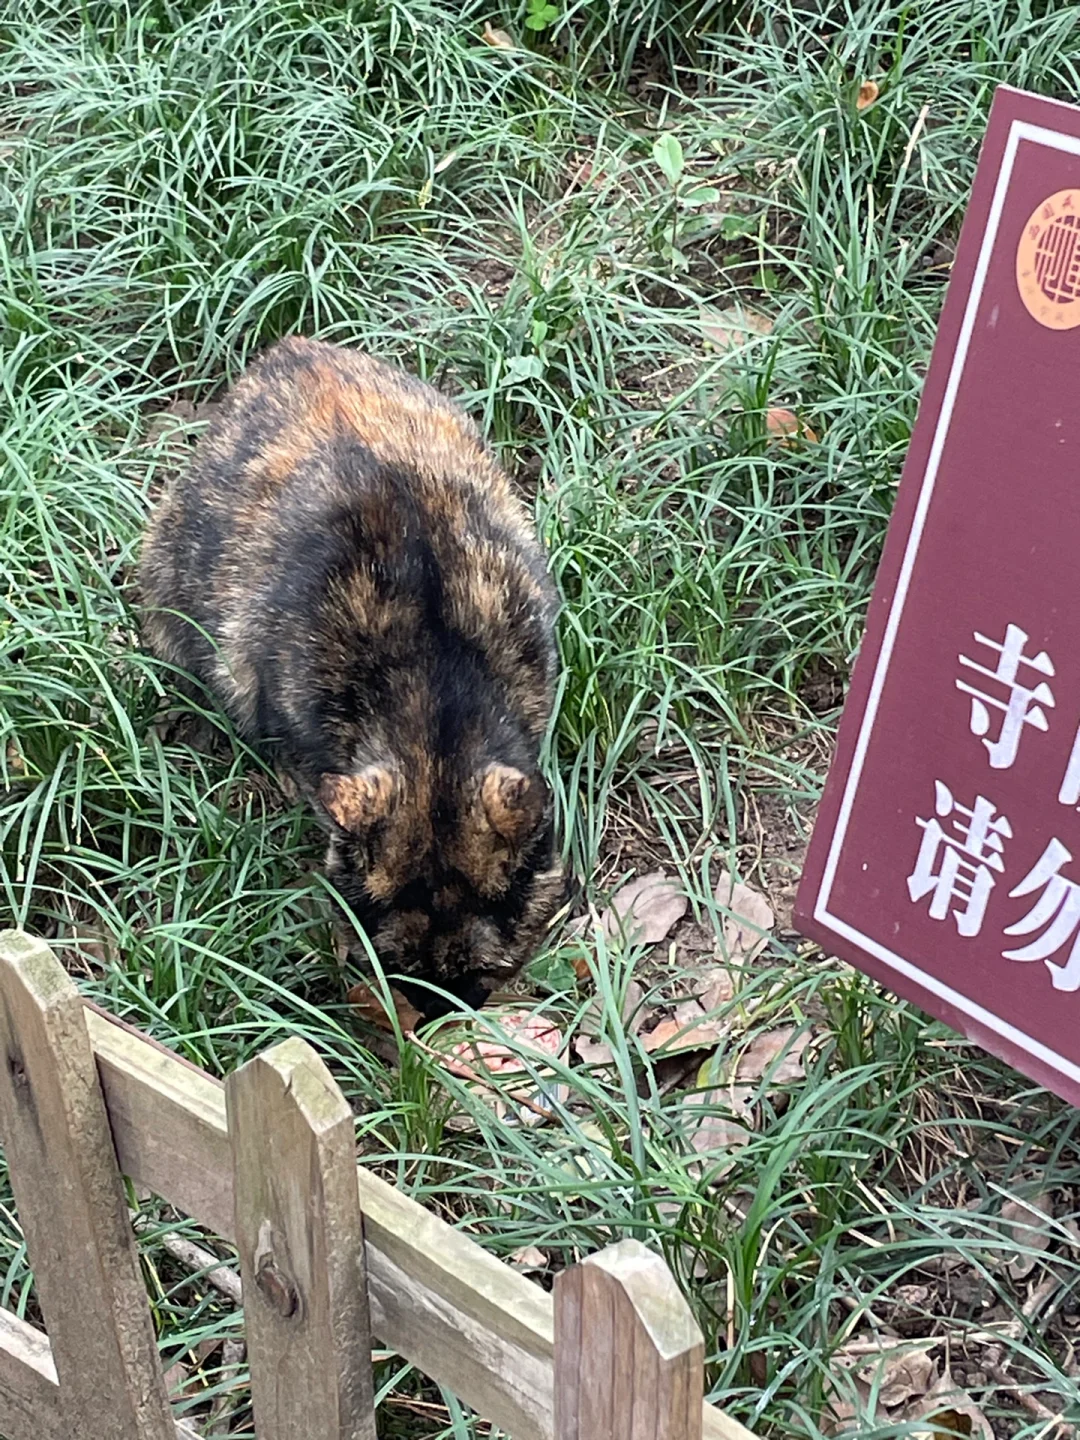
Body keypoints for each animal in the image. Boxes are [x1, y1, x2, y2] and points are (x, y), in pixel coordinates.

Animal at [139, 334, 567, 1013]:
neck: (434, 691)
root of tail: (290, 349)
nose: (437, 1015)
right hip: (163, 586)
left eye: (480, 973)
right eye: (395, 968)